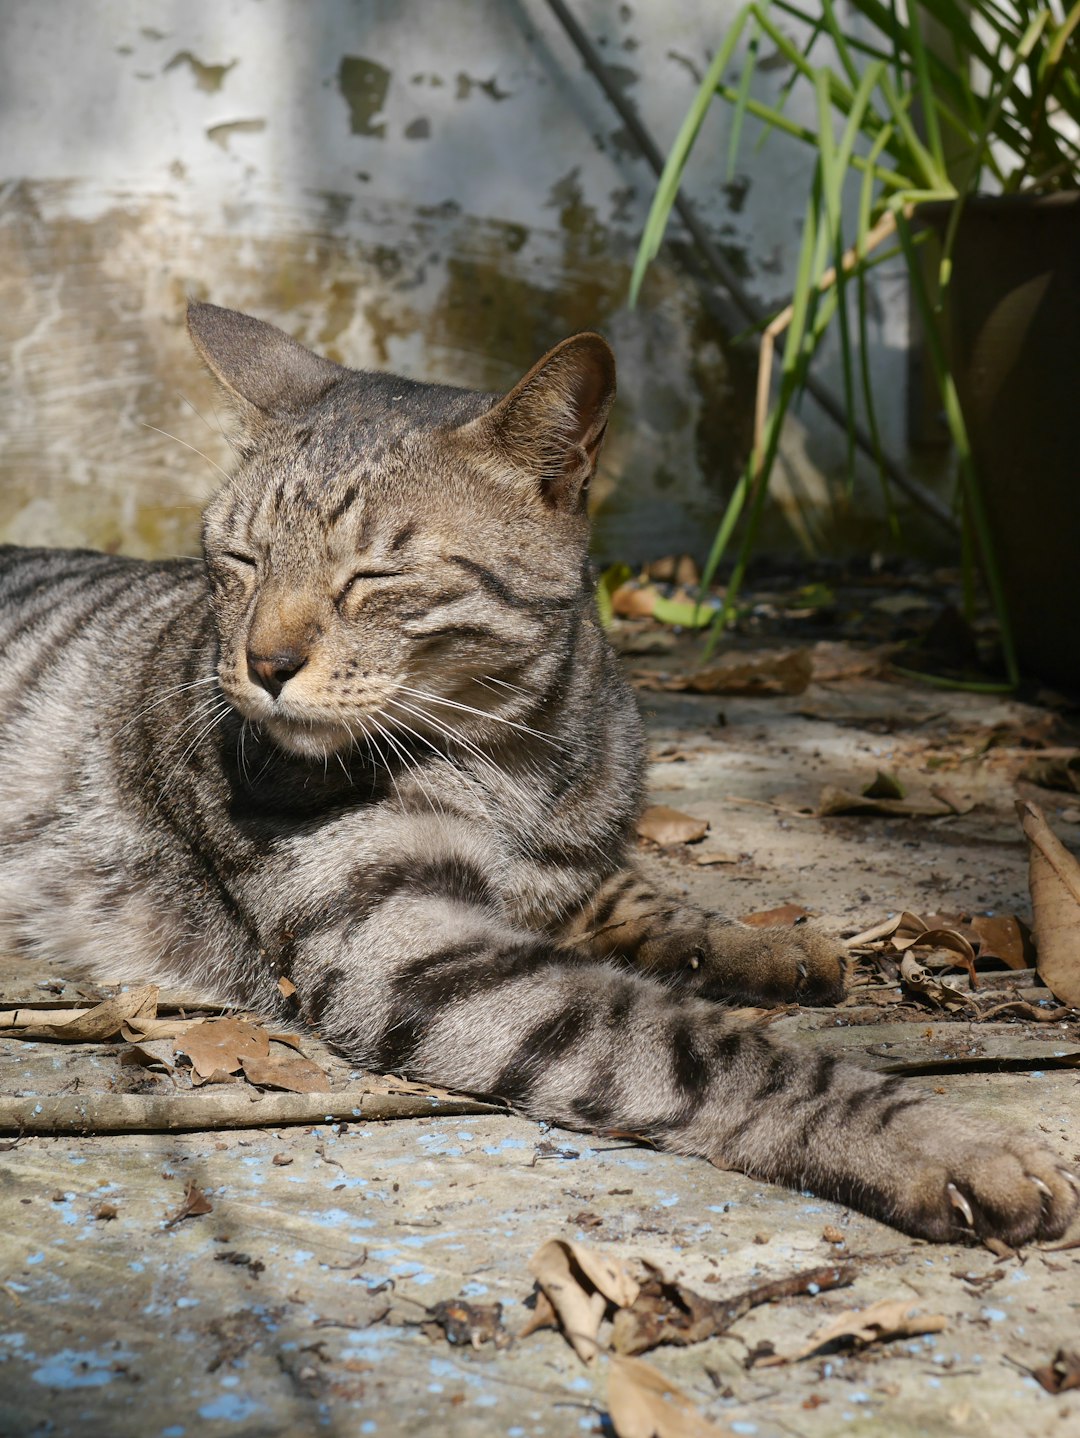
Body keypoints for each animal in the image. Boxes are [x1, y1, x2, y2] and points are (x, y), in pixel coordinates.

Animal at [4, 306, 1075, 1248]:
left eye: (375, 578)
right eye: (239, 560)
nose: (263, 664)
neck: (515, 755)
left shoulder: (559, 868)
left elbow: (635, 896)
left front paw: (758, 941)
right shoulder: (408, 946)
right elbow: (710, 1052)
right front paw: (942, 1144)